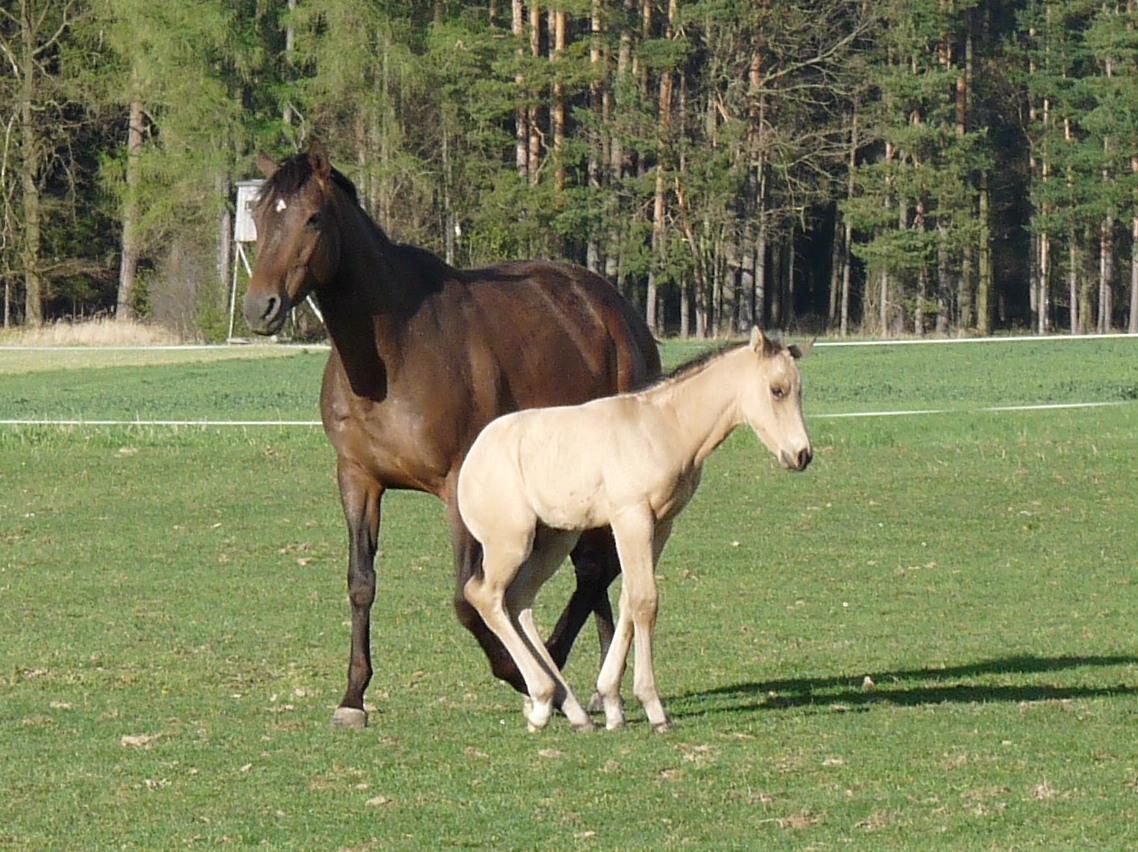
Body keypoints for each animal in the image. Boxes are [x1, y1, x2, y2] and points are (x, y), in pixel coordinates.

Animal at [244, 144, 664, 723]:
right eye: (259, 216)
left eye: (312, 218)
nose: (259, 307)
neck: (392, 353)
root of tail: (616, 310)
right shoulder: (357, 479)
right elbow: (361, 584)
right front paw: (353, 698)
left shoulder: (457, 484)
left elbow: (468, 597)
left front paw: (518, 673)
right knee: (593, 572)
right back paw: (598, 683)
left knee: (595, 571)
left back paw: (555, 669)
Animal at [452, 327, 810, 732]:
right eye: (777, 390)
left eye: (799, 390)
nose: (801, 455)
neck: (666, 426)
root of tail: (475, 455)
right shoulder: (631, 519)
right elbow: (644, 601)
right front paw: (653, 708)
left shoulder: (661, 525)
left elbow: (628, 598)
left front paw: (611, 702)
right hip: (510, 543)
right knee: (486, 596)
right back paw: (543, 696)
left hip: (555, 540)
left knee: (518, 599)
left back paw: (568, 710)